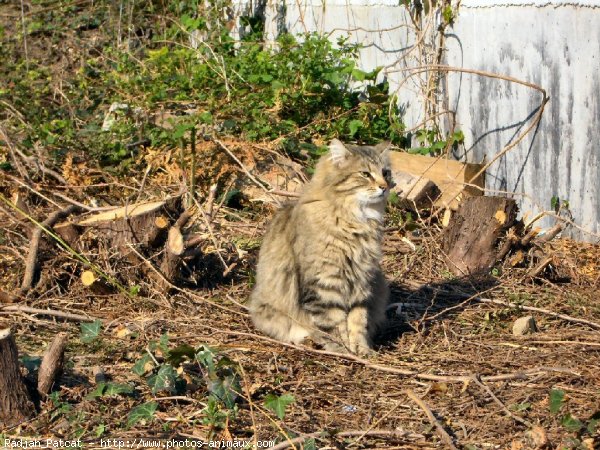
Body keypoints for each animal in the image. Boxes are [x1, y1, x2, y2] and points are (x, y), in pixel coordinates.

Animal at [248, 139, 394, 356]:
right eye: (365, 174)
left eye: (385, 173)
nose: (384, 187)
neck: (356, 220)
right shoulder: (324, 282)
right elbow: (334, 324)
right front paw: (343, 351)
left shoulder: (362, 281)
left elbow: (358, 321)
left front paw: (361, 350)